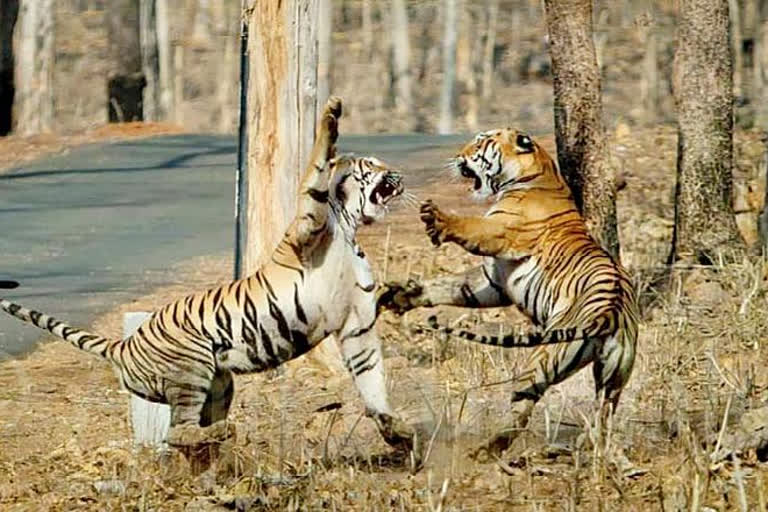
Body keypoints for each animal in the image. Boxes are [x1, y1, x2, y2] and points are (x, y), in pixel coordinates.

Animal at [0, 98, 416, 458]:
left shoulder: (356, 322)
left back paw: (218, 442)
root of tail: (124, 345)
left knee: (184, 434)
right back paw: (221, 434)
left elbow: (370, 379)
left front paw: (396, 430)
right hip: (191, 367)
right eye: (372, 163)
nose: (398, 173)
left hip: (219, 381)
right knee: (176, 432)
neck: (348, 230)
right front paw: (331, 116)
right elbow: (317, 166)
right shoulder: (306, 224)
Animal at [376, 130, 636, 458]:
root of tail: (610, 311)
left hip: (542, 359)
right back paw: (585, 446)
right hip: (614, 376)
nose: (458, 155)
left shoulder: (496, 233)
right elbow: (449, 286)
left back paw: (488, 449)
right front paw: (402, 296)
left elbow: (470, 227)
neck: (538, 172)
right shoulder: (493, 281)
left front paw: (437, 219)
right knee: (603, 413)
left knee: (521, 410)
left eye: (479, 142)